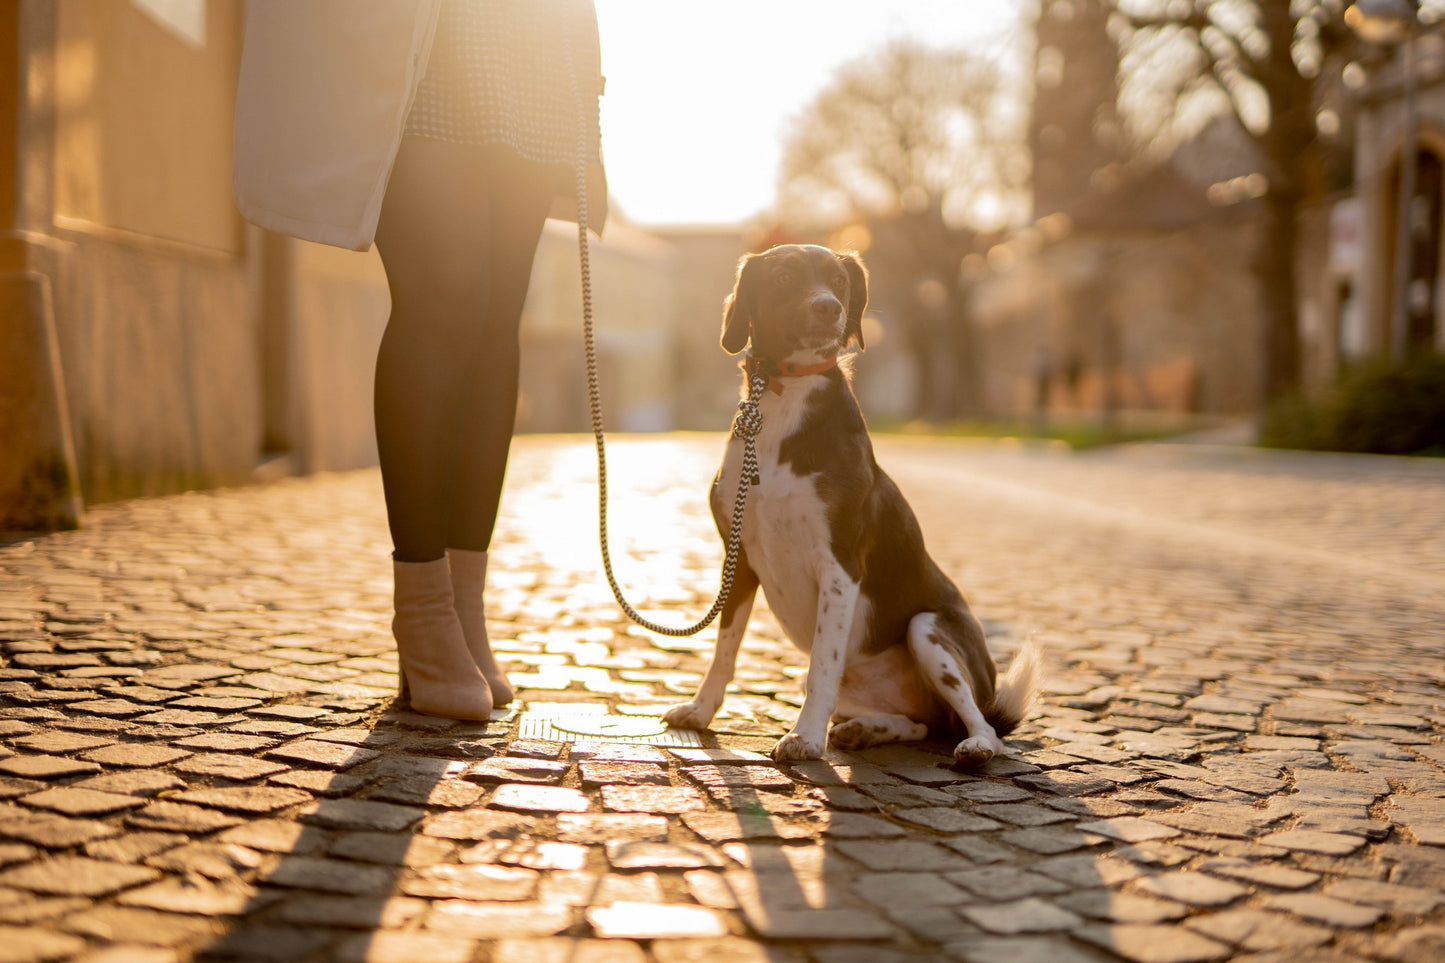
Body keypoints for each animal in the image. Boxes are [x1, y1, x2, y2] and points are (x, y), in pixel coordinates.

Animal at [664, 241, 1040, 763]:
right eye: (784, 277)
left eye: (839, 282)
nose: (828, 307)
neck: (785, 395)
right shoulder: (736, 561)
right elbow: (725, 650)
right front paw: (700, 711)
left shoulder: (839, 565)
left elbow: (821, 665)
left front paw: (804, 736)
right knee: (921, 726)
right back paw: (866, 730)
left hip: (928, 629)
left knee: (978, 722)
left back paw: (976, 745)